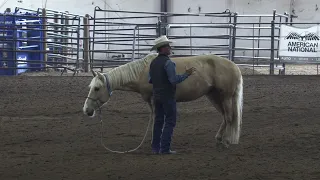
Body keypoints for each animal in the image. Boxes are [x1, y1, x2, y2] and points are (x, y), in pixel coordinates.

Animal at [82, 52, 242, 148]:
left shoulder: (155, 100)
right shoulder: (151, 102)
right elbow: (155, 120)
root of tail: (233, 65)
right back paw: (219, 138)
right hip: (213, 96)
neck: (143, 72)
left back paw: (226, 141)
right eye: (90, 87)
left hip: (226, 97)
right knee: (225, 117)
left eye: (97, 88)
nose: (87, 110)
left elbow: (157, 120)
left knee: (229, 117)